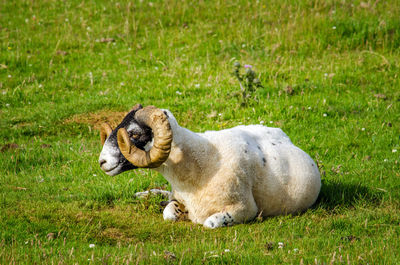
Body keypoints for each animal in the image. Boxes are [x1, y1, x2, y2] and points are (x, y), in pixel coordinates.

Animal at [99, 103, 322, 227]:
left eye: (134, 133)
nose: (102, 161)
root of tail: (286, 137)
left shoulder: (245, 209)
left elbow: (209, 223)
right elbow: (168, 214)